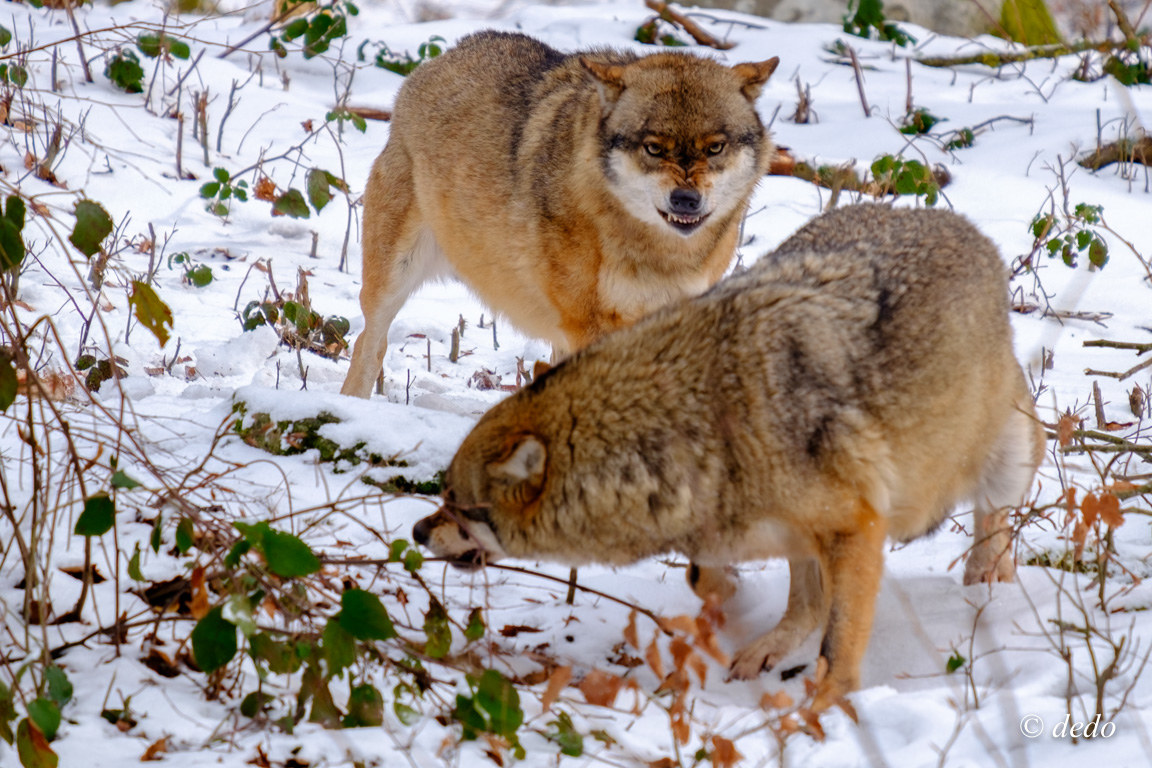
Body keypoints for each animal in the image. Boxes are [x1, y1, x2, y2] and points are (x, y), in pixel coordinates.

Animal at [340, 31, 779, 397]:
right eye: (653, 148)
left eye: (715, 147)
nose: (686, 200)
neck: (660, 254)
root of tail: (445, 54)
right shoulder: (588, 326)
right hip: (392, 280)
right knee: (369, 344)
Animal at [412, 204, 1046, 711]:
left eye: (455, 503)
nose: (417, 532)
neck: (700, 423)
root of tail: (958, 222)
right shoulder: (771, 531)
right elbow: (709, 577)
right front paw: (739, 609)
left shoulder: (856, 526)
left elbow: (837, 641)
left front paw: (822, 711)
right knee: (806, 599)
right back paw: (765, 648)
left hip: (1006, 461)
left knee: (995, 515)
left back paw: (987, 578)